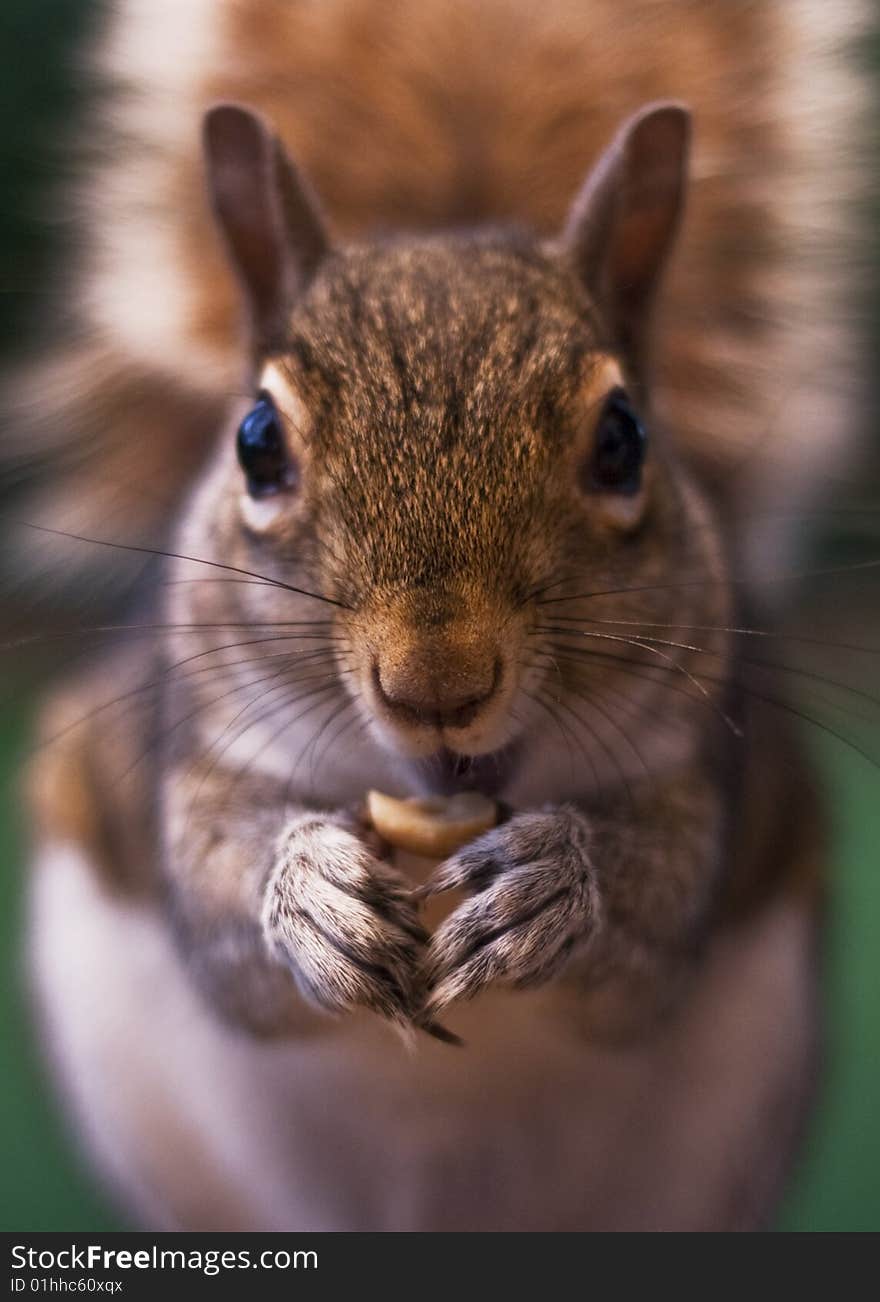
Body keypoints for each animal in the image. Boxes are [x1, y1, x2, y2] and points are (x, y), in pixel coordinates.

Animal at [24, 0, 864, 1229]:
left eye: (624, 441)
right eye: (255, 444)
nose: (436, 684)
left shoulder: (708, 765)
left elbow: (656, 914)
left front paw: (559, 882)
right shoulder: (187, 747)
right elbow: (221, 908)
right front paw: (309, 892)